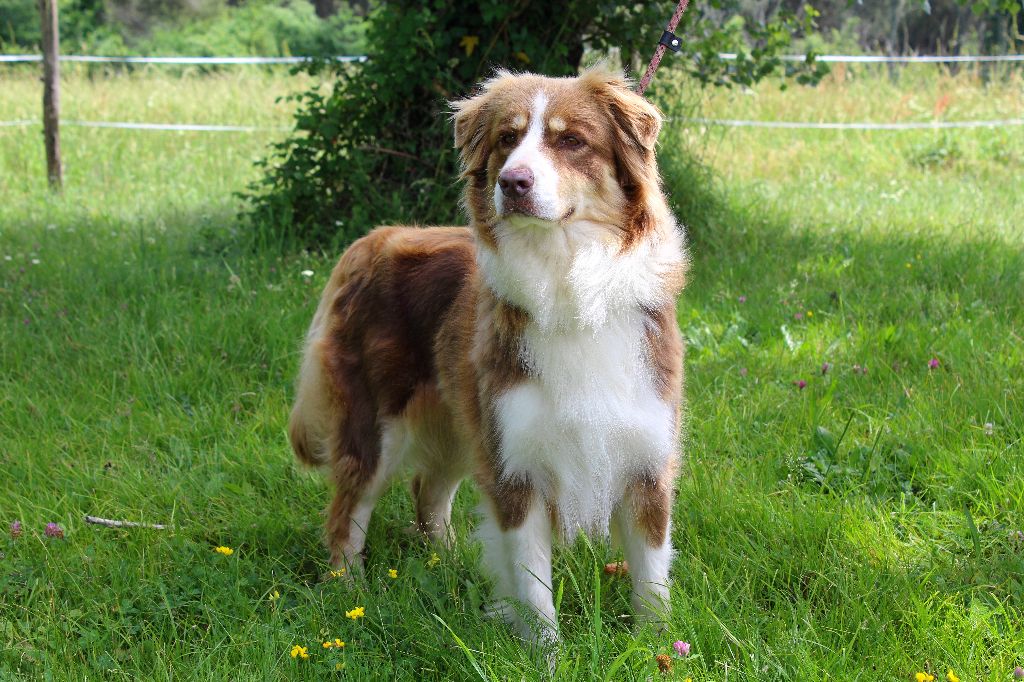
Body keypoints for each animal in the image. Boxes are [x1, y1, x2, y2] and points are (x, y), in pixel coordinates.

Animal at [288, 66, 688, 638]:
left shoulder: (646, 458)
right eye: (507, 139)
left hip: (463, 419)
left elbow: (652, 581)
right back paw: (350, 597)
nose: (513, 182)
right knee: (348, 513)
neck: (567, 276)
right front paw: (544, 648)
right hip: (377, 424)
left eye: (572, 140)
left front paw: (660, 647)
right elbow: (533, 583)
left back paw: (451, 563)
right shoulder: (515, 464)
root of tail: (372, 240)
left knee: (428, 493)